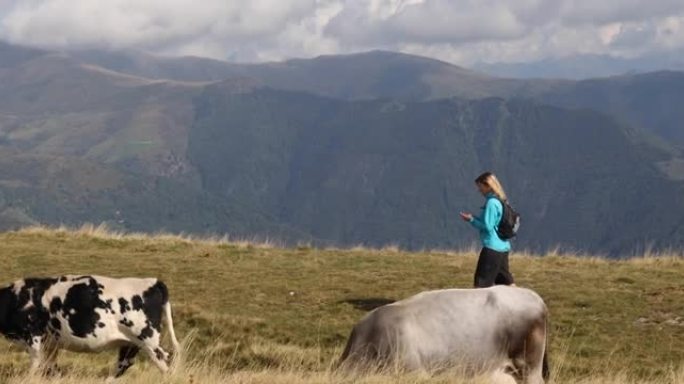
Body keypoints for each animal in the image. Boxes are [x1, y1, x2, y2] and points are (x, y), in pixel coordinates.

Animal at [0, 274, 179, 380]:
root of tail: (153, 281)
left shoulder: (34, 337)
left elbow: (35, 364)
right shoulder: (51, 344)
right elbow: (51, 368)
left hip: (147, 339)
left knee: (163, 361)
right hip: (131, 343)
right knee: (123, 364)